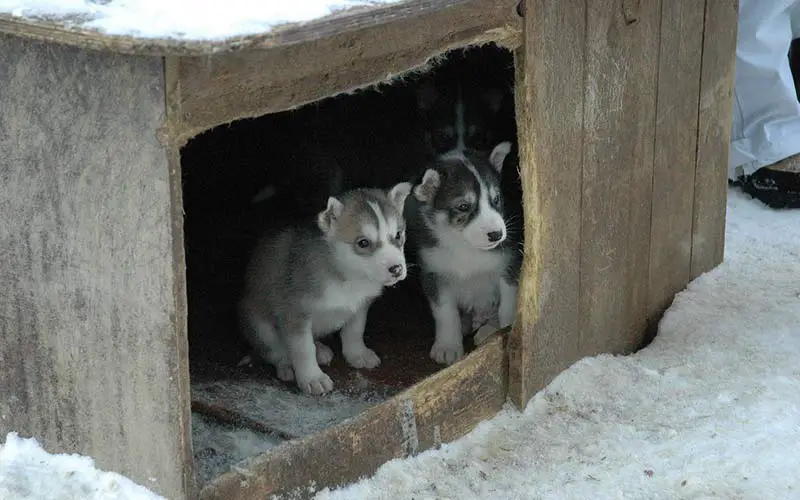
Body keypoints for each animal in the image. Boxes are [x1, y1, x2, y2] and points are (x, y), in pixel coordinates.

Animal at [238, 182, 412, 392]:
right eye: (363, 242)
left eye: (398, 235)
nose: (397, 269)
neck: (348, 276)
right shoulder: (295, 313)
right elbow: (303, 349)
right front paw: (312, 378)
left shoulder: (360, 306)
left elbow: (355, 330)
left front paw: (357, 354)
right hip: (258, 324)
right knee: (273, 350)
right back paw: (286, 365)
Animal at [406, 141, 520, 364]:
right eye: (463, 206)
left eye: (496, 199)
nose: (497, 234)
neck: (465, 245)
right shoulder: (434, 273)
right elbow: (445, 312)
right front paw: (448, 345)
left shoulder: (510, 265)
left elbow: (508, 303)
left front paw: (504, 329)